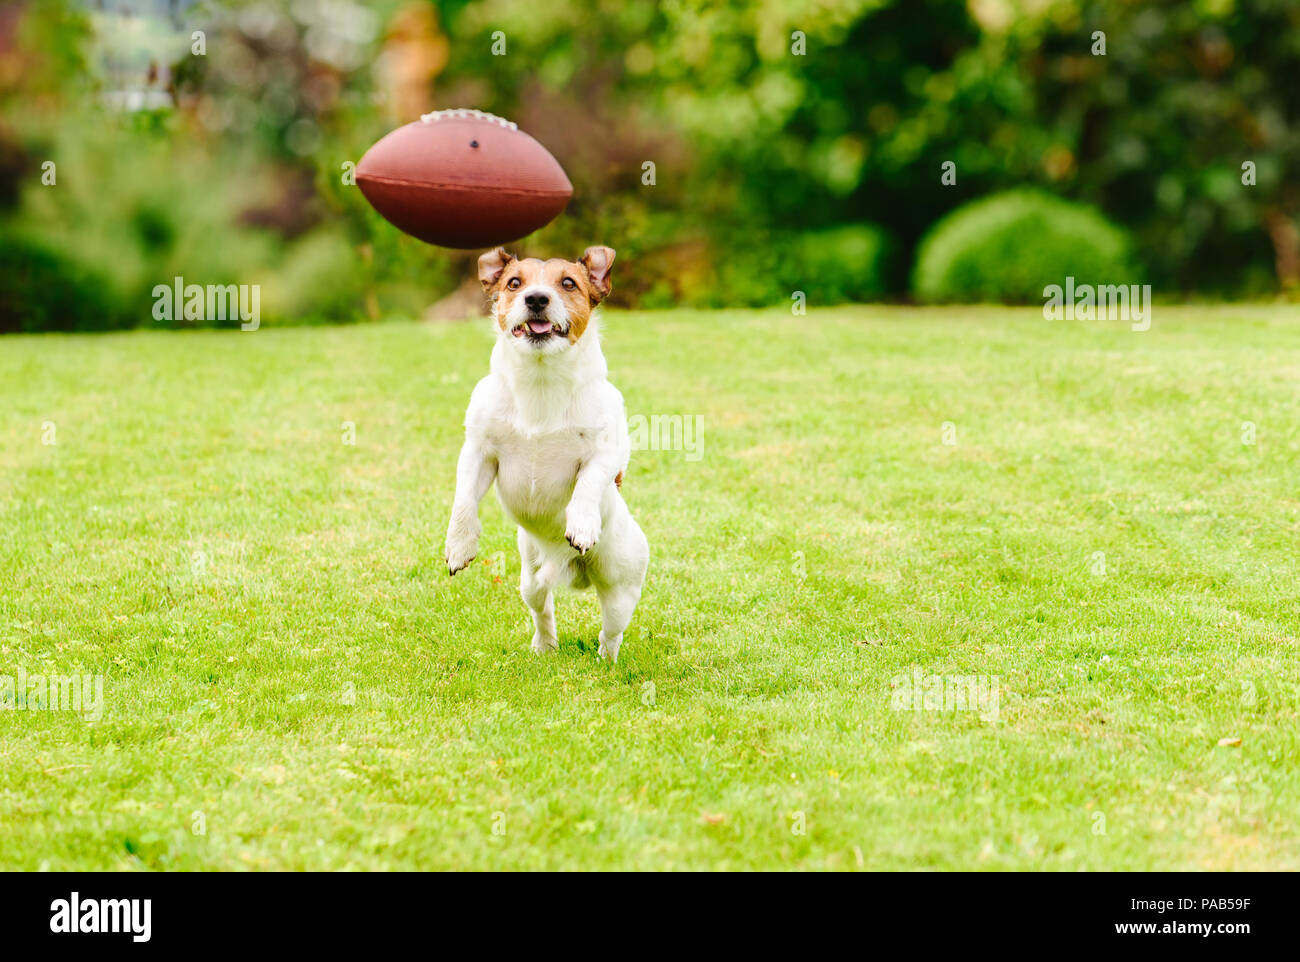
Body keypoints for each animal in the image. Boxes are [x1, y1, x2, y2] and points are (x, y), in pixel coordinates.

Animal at [447, 244, 650, 660]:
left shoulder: (609, 452)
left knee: (611, 632)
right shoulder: (478, 451)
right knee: (543, 608)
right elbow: (463, 501)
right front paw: (459, 546)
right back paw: (544, 646)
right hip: (530, 578)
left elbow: (588, 482)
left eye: (568, 283)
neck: (541, 382)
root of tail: (572, 570)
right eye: (514, 283)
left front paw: (582, 524)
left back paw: (607, 661)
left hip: (621, 588)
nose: (537, 299)